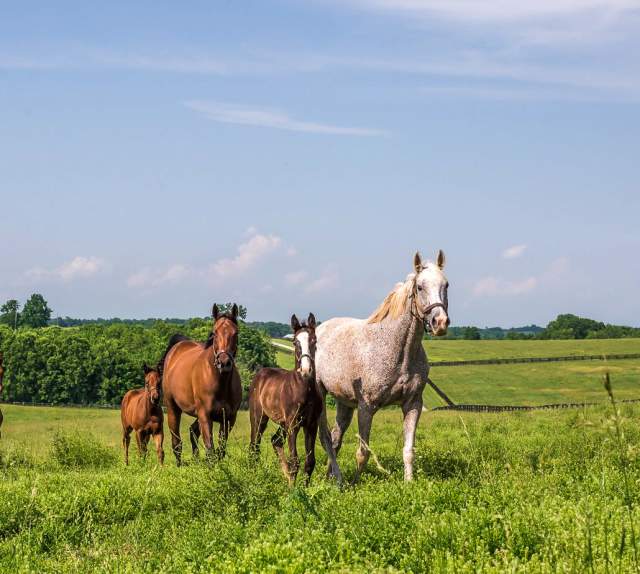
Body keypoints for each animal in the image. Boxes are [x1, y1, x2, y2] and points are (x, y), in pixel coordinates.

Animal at [160, 303, 242, 465]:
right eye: (214, 333)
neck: (220, 384)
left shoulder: (229, 419)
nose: (224, 363)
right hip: (173, 409)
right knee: (176, 443)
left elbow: (221, 449)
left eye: (235, 333)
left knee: (192, 431)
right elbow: (210, 449)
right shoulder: (205, 416)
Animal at [249, 313, 322, 485]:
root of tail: (259, 375)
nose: (306, 370)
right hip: (259, 418)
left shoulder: (311, 424)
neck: (304, 390)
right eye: (295, 342)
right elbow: (295, 460)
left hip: (282, 423)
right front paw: (294, 490)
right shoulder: (293, 425)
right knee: (254, 447)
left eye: (314, 340)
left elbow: (310, 462)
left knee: (275, 441)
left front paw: (302, 488)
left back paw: (286, 477)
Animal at [316, 250, 449, 483]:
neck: (399, 351)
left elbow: (408, 450)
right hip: (322, 396)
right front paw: (355, 484)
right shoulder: (366, 407)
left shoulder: (413, 404)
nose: (440, 323)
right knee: (326, 439)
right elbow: (363, 452)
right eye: (420, 287)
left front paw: (409, 483)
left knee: (335, 439)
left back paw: (330, 477)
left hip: (344, 403)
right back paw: (337, 479)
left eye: (446, 285)